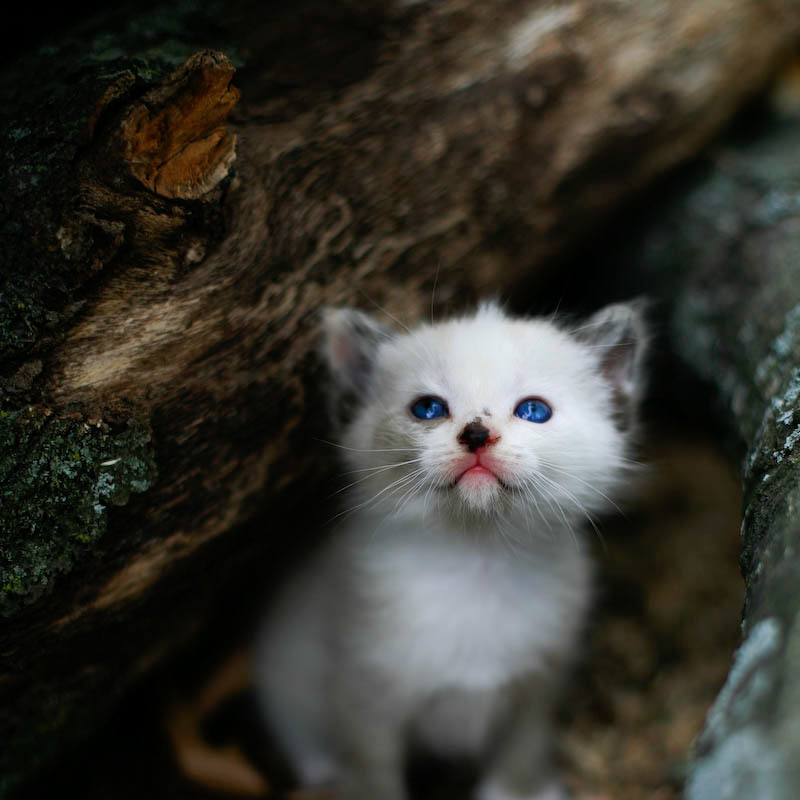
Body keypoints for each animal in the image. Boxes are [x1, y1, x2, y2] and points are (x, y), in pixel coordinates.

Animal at [253, 302, 648, 800]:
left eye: (534, 410)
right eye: (428, 408)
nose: (477, 434)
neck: (478, 558)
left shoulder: (539, 688)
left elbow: (519, 757)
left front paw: (521, 790)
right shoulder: (365, 698)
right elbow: (374, 776)